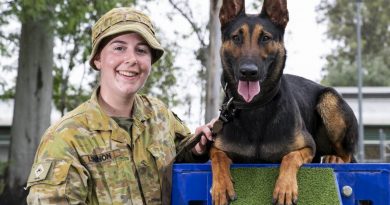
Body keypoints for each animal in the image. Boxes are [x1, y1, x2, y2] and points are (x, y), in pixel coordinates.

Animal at [209, 0, 358, 205]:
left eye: (265, 38)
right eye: (236, 38)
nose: (248, 72)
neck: (255, 107)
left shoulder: (307, 147)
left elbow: (290, 157)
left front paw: (285, 187)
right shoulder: (217, 148)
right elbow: (217, 157)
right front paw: (221, 186)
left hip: (329, 101)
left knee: (347, 154)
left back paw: (335, 159)